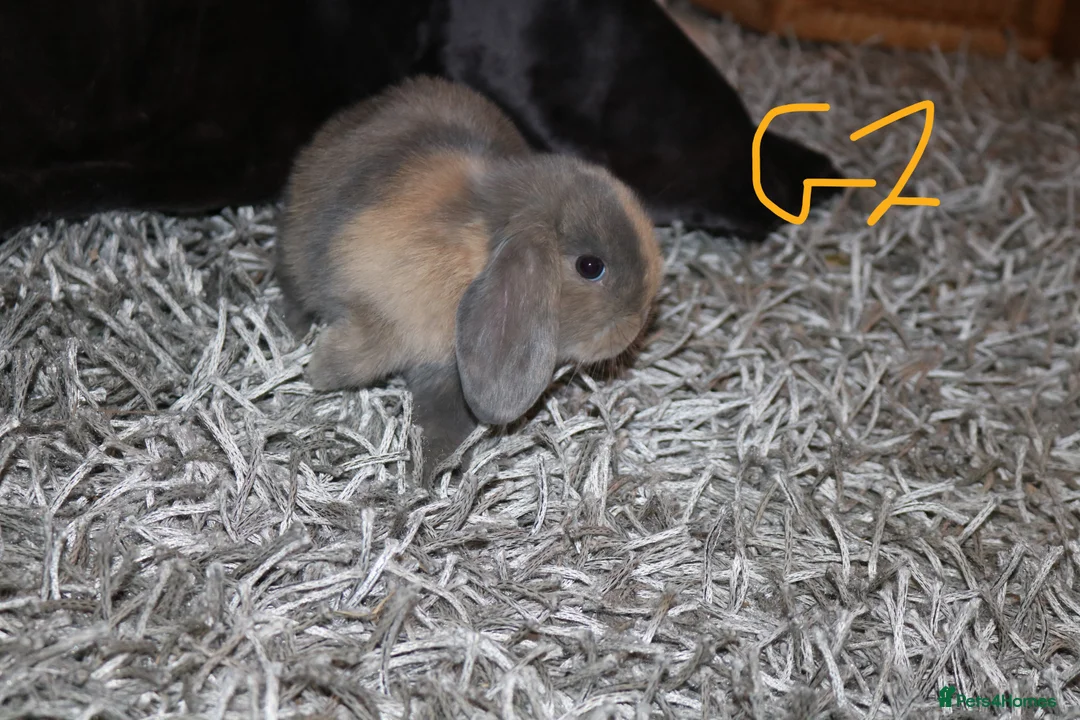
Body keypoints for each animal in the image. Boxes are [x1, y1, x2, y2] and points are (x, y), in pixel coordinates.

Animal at [276, 75, 663, 480]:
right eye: (590, 267)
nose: (637, 324)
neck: (477, 248)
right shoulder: (378, 316)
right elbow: (356, 356)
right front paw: (318, 372)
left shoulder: (447, 368)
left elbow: (446, 418)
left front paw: (432, 468)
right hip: (295, 252)